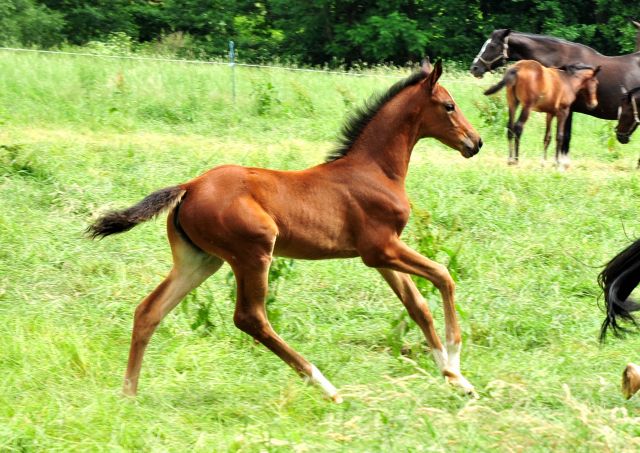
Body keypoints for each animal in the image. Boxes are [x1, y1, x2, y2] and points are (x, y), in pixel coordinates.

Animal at [87, 58, 482, 400]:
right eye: (449, 106)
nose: (475, 142)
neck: (374, 170)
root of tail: (190, 186)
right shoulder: (381, 248)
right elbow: (443, 276)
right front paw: (455, 361)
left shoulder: (380, 255)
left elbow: (417, 306)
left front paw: (455, 379)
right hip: (254, 252)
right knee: (250, 318)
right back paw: (326, 387)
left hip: (199, 260)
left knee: (149, 311)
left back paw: (128, 396)